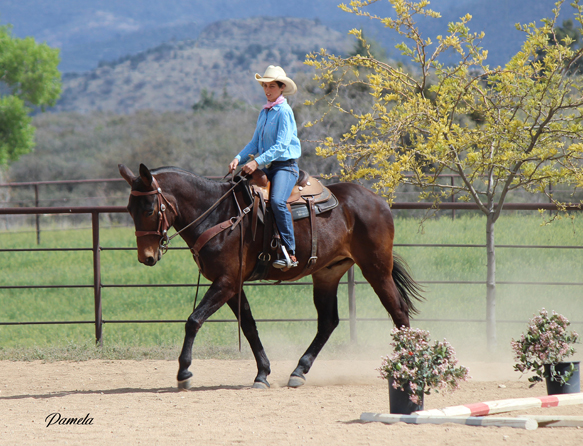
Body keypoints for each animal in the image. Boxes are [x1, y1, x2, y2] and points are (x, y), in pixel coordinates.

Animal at [118, 165, 422, 390]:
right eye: (129, 209)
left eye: (148, 209)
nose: (146, 257)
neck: (219, 215)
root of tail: (377, 200)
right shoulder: (233, 284)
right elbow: (249, 327)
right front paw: (262, 373)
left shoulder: (225, 282)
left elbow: (194, 320)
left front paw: (184, 373)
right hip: (328, 273)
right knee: (328, 322)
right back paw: (299, 371)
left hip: (376, 268)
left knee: (398, 312)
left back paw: (408, 365)